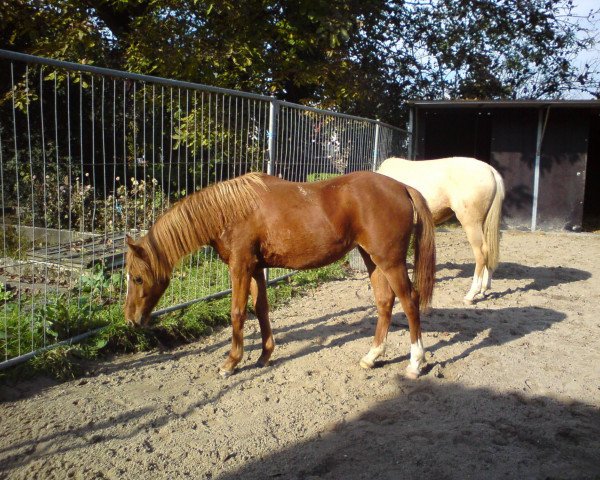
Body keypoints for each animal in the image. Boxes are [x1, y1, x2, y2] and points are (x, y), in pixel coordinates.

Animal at [125, 172, 436, 378]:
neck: (230, 210)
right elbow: (260, 308)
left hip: (390, 261)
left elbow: (237, 312)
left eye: (137, 278)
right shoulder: (255, 268)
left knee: (409, 300)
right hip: (373, 260)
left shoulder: (240, 267)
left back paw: (415, 362)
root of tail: (402, 187)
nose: (130, 320)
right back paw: (372, 357)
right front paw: (264, 355)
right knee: (385, 302)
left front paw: (231, 362)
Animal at [378, 159, 504, 306]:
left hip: (472, 223)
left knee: (481, 253)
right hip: (484, 224)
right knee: (490, 251)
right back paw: (484, 289)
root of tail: (491, 171)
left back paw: (471, 295)